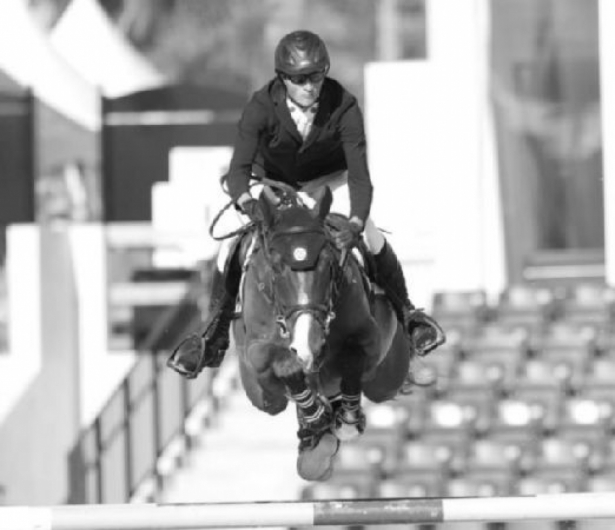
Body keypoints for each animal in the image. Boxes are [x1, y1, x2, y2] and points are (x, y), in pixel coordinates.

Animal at [229, 183, 416, 478]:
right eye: (276, 266)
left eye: (329, 263)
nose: (309, 344)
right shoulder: (256, 354)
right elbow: (280, 363)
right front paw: (314, 416)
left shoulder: (369, 340)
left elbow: (352, 357)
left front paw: (346, 421)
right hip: (261, 398)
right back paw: (313, 437)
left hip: (387, 379)